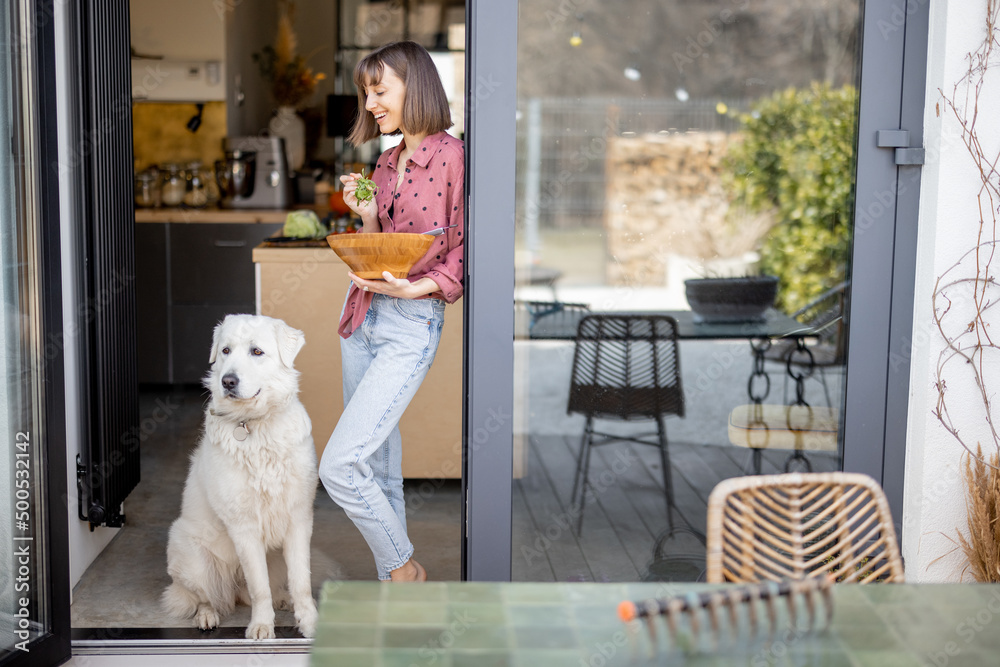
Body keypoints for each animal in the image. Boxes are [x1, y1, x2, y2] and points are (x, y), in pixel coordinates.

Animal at [162, 316, 316, 640]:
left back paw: (283, 599)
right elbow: (259, 588)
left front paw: (309, 622)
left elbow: (301, 581)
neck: (254, 425)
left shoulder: (299, 518)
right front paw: (261, 626)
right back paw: (207, 616)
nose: (228, 381)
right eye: (225, 350)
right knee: (209, 596)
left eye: (256, 351)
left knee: (254, 590)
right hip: (191, 555)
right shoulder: (243, 526)